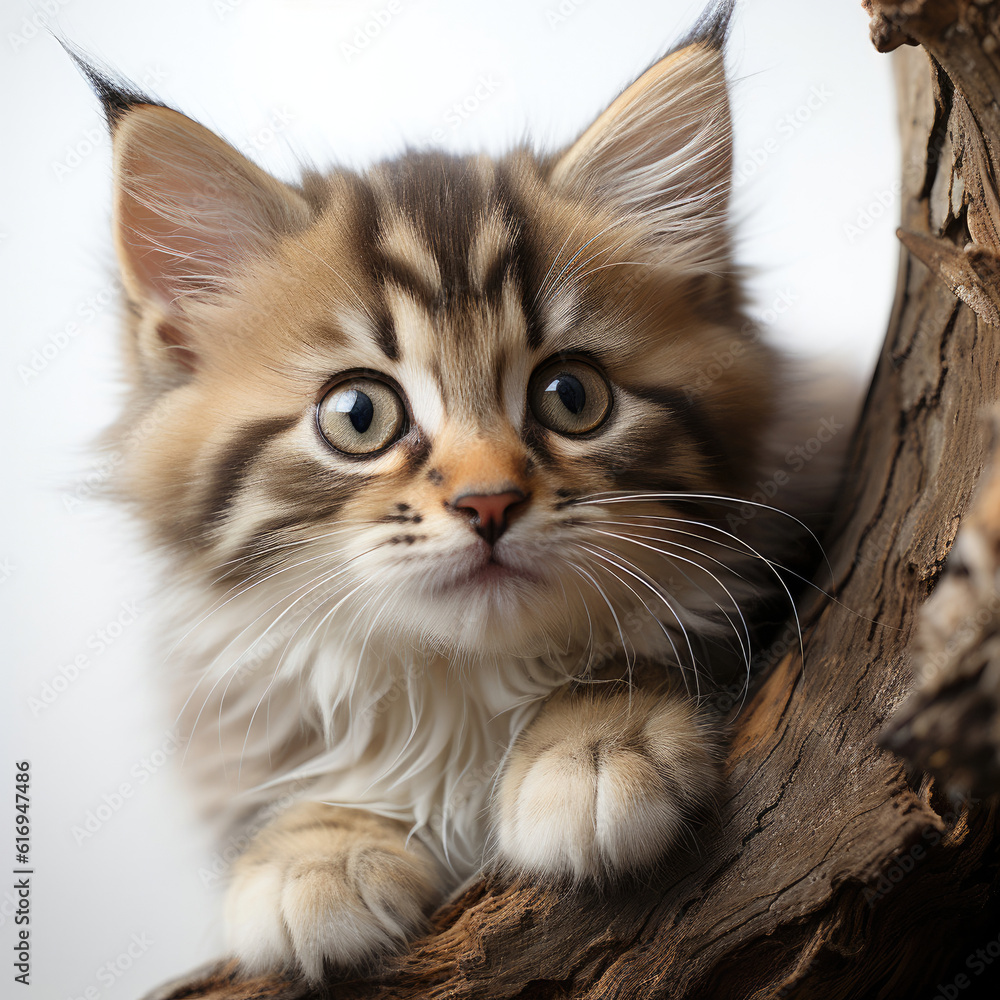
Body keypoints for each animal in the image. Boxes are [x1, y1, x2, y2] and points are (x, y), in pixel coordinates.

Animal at [74, 0, 836, 984]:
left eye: (572, 396)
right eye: (359, 414)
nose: (488, 504)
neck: (459, 691)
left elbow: (657, 641)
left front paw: (595, 743)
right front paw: (311, 847)